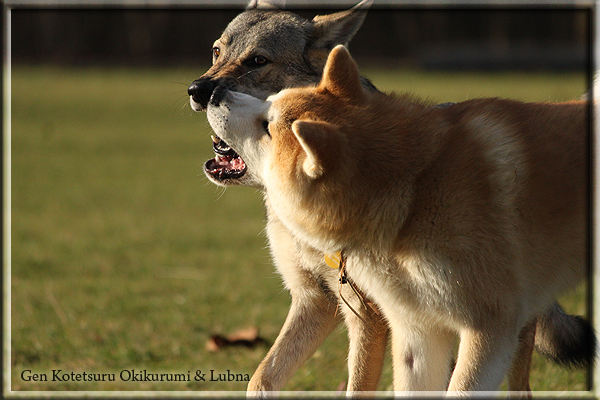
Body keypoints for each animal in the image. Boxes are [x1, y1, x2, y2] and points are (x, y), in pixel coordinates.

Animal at [206, 45, 592, 392]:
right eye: (270, 103)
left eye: (267, 126)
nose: (212, 92)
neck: (415, 191)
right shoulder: (393, 323)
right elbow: (263, 378)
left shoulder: (482, 328)